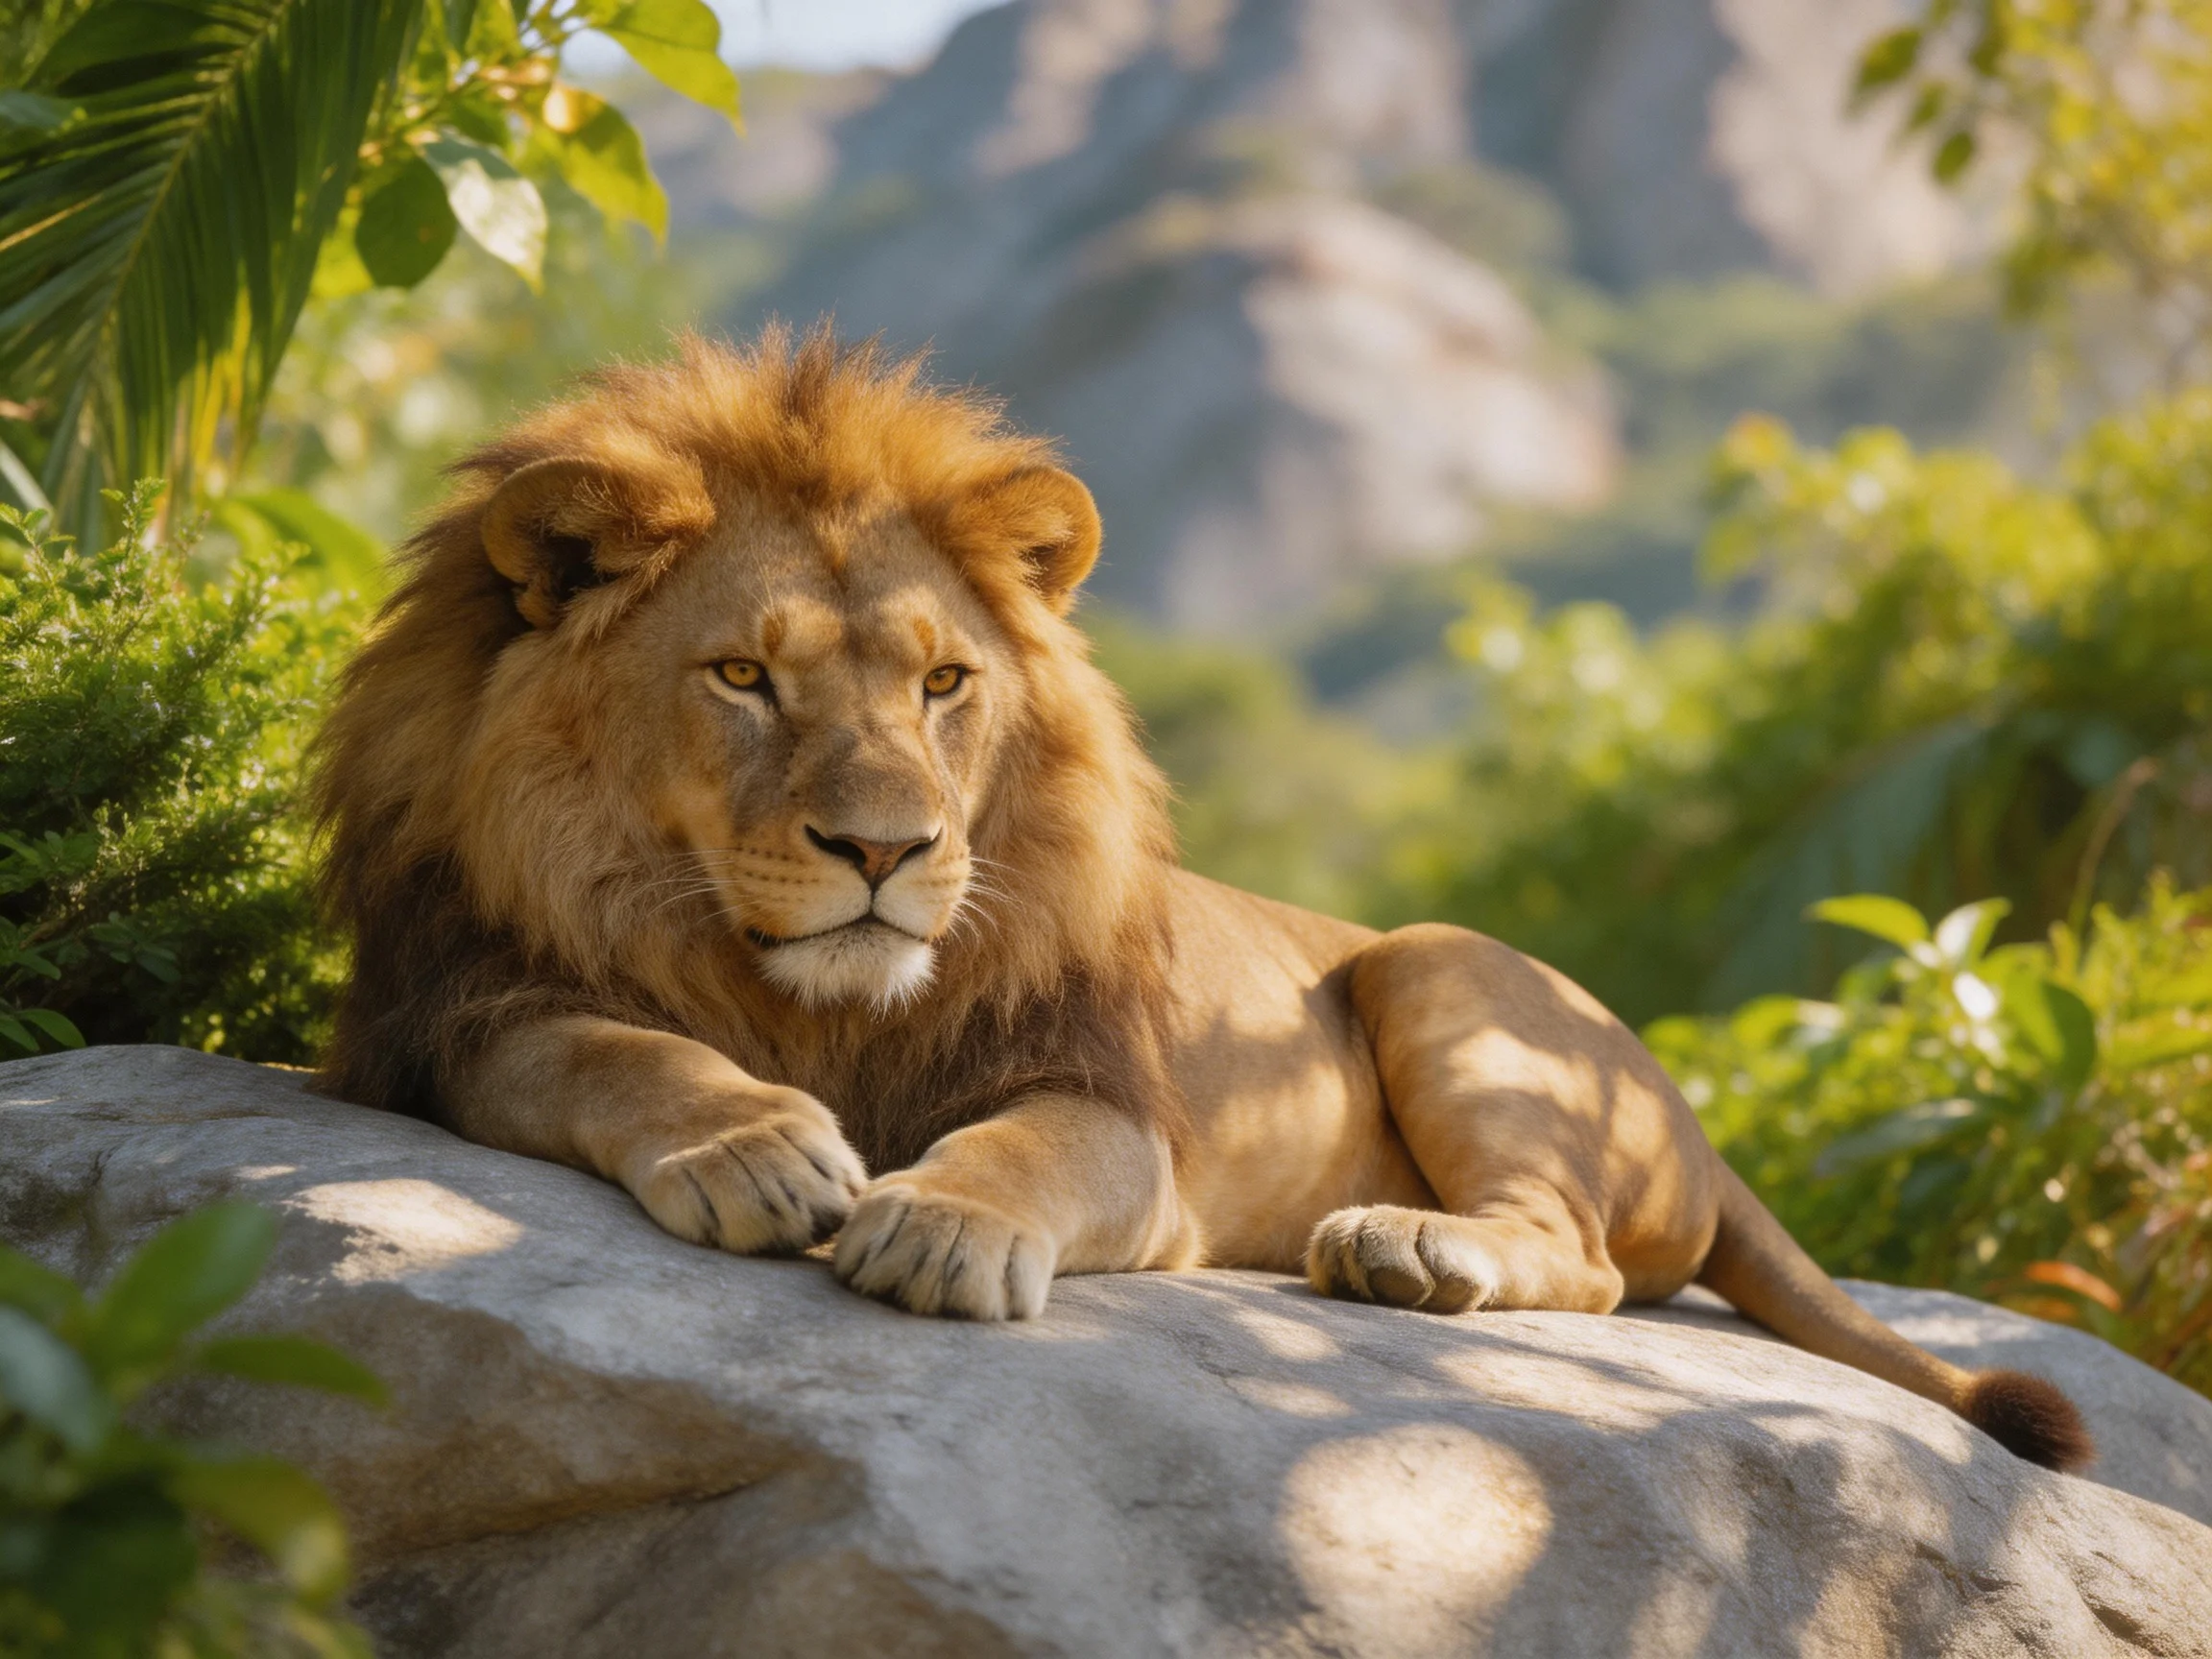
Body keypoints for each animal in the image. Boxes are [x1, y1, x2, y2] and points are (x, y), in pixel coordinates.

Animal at [317, 328, 2090, 1472]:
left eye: (944, 682)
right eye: (743, 678)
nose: (887, 851)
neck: (802, 998)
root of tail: (1707, 1140)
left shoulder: (1118, 1118)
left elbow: (1024, 1151)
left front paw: (942, 1225)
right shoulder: (449, 1014)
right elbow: (609, 1049)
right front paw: (753, 1145)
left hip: (1441, 969)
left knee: (1579, 1256)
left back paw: (1402, 1250)